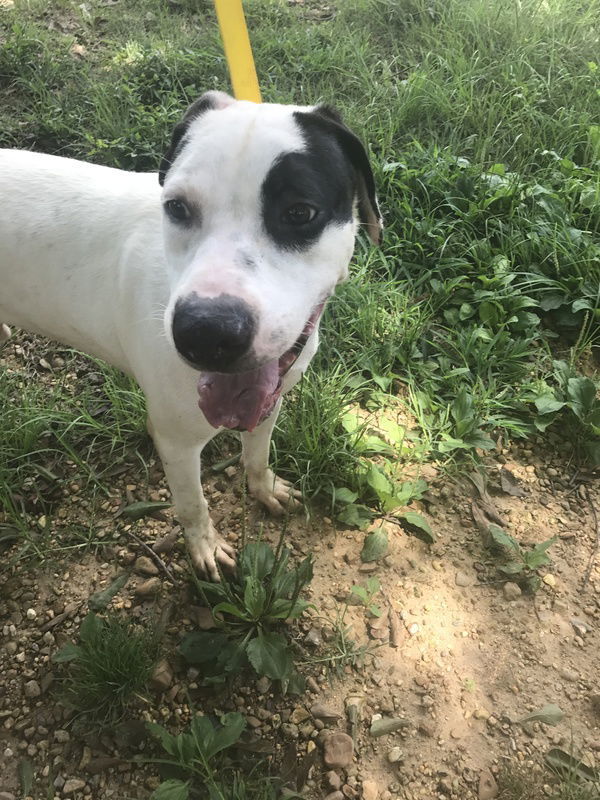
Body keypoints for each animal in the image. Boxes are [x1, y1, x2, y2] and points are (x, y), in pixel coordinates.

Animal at [0, 90, 382, 580]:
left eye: (301, 212)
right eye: (177, 207)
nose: (205, 333)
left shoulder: (270, 400)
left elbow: (257, 454)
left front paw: (264, 488)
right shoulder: (177, 441)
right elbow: (192, 506)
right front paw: (204, 548)